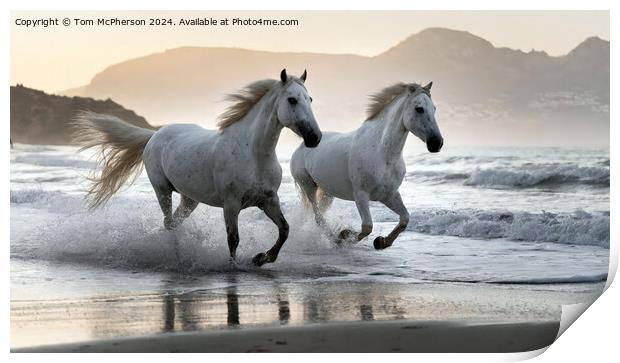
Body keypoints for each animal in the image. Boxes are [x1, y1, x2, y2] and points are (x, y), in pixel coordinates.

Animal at [75, 69, 322, 266]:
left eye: (310, 98)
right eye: (292, 100)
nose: (314, 137)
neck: (253, 154)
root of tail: (155, 134)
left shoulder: (268, 200)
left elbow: (285, 230)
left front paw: (261, 258)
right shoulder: (231, 204)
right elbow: (233, 239)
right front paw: (234, 267)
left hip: (190, 199)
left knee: (174, 222)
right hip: (162, 190)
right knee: (168, 222)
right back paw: (178, 258)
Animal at [290, 82, 440, 250]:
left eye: (434, 108)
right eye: (419, 108)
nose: (437, 143)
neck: (383, 153)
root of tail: (302, 146)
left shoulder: (389, 194)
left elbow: (405, 219)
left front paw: (382, 242)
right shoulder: (361, 195)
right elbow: (367, 226)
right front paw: (344, 235)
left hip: (328, 192)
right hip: (308, 186)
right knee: (317, 217)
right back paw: (334, 238)